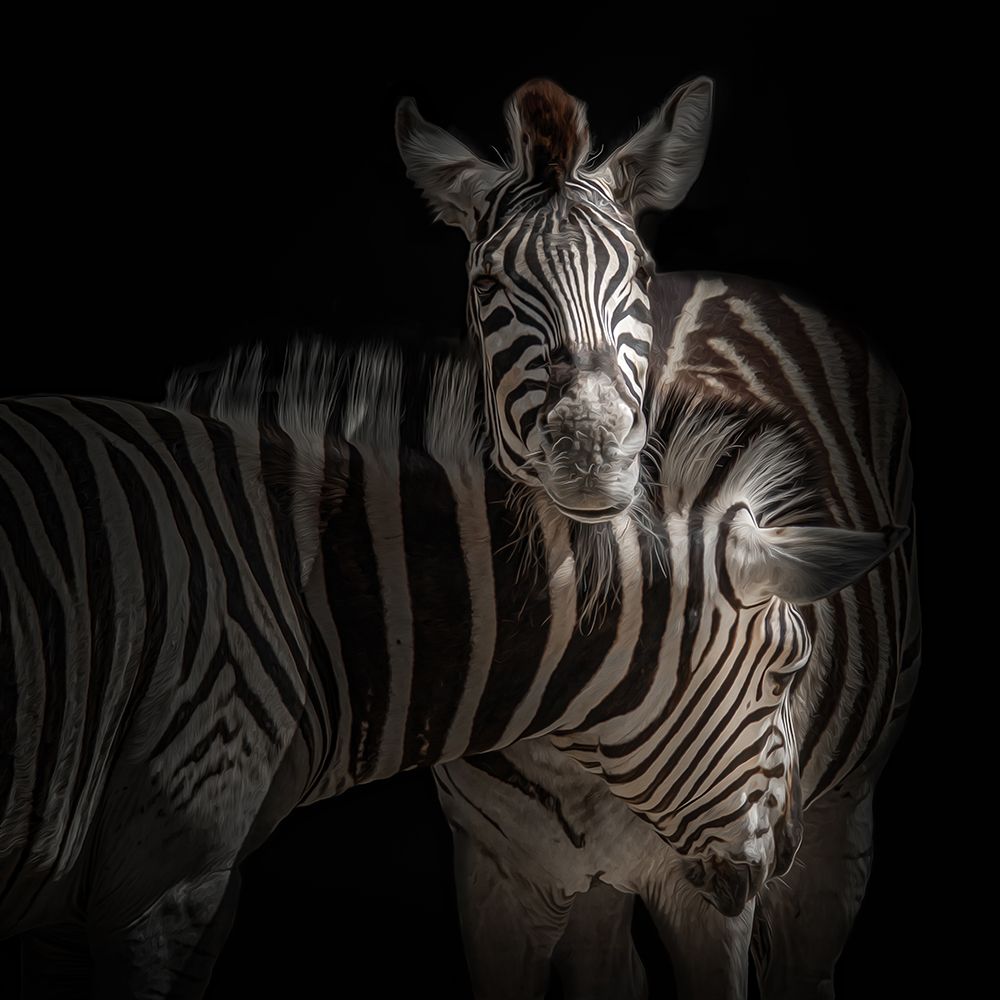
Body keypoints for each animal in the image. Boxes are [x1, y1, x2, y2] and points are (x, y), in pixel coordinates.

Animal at [397, 80, 920, 997]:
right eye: (489, 283)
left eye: (637, 274)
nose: (593, 446)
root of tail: (725, 275)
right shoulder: (493, 882)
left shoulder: (712, 883)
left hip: (842, 811)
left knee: (810, 951)